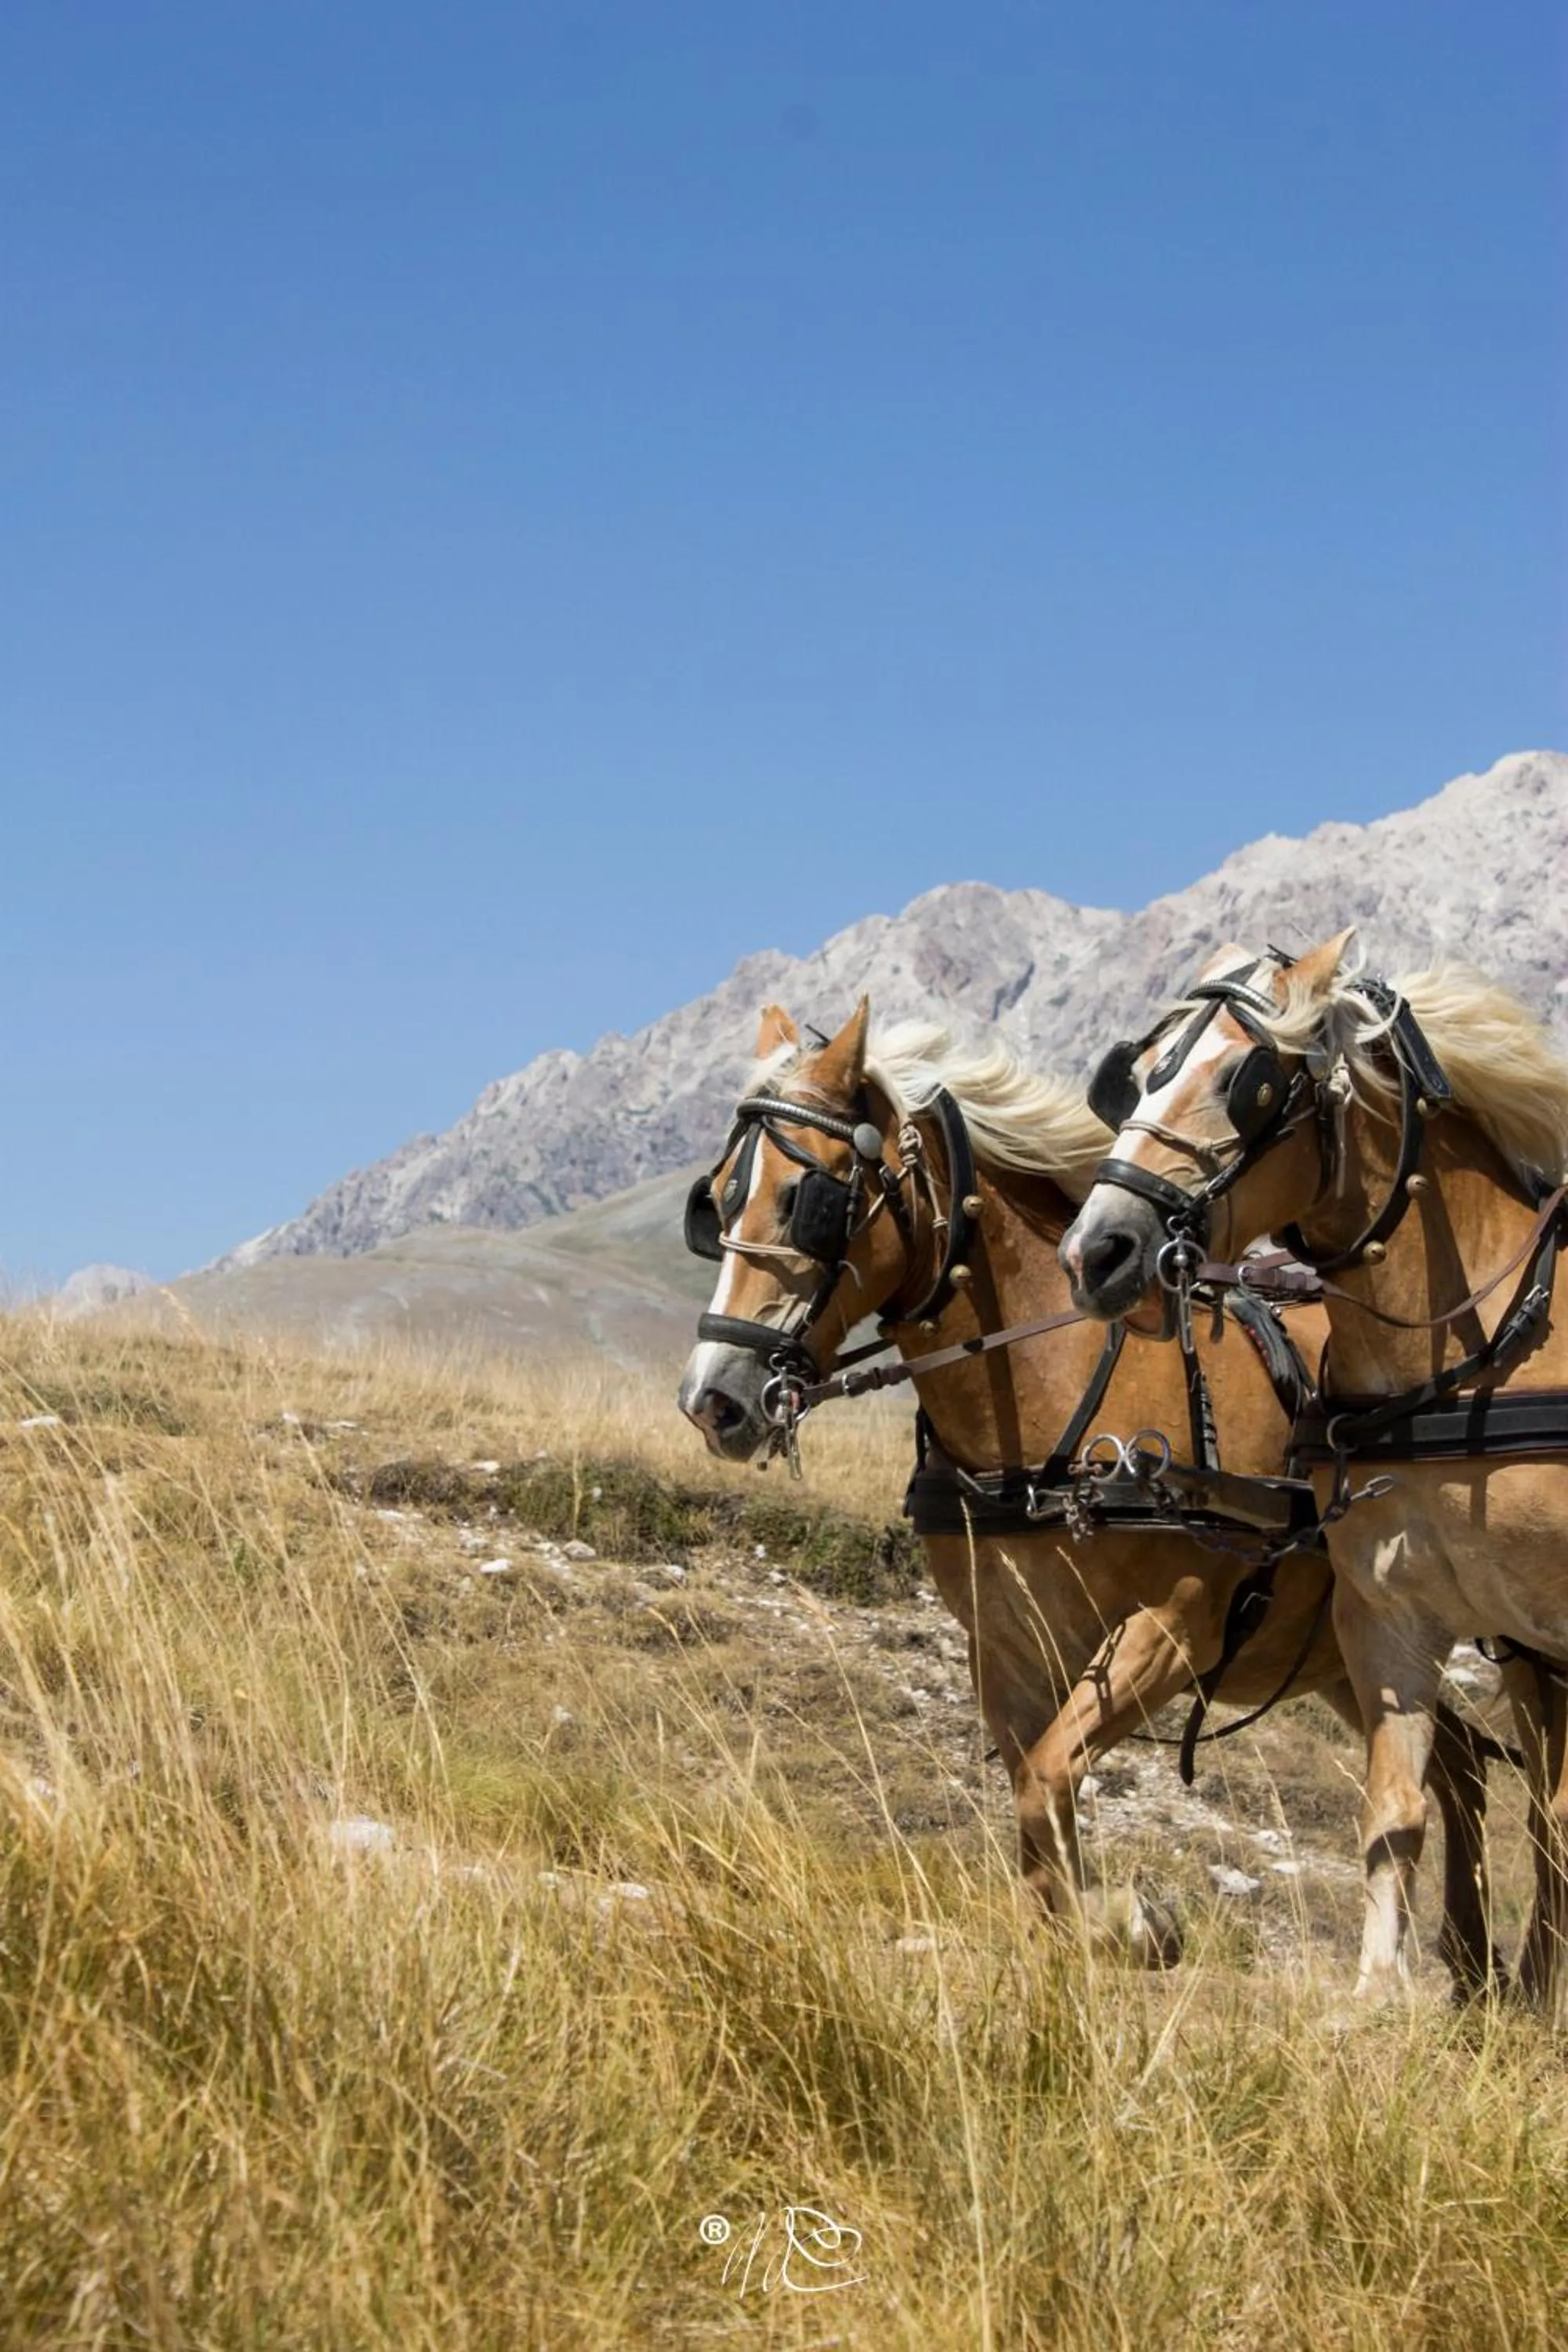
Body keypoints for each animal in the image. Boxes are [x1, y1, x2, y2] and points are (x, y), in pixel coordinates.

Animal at [677, 996, 1500, 1985]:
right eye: (716, 1200)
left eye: (810, 1200)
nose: (713, 1399)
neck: (1049, 1406)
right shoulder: (1005, 1646)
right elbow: (1038, 1806)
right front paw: (1081, 1933)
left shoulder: (1174, 1627)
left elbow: (1045, 1784)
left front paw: (1129, 1922)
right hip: (1354, 1651)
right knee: (1460, 1763)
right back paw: (1475, 1964)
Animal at [1058, 933, 1568, 2017]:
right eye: (1135, 1072)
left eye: (1245, 1081)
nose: (1095, 1252)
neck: (1483, 1347)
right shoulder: (1387, 1615)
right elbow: (1394, 1811)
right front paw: (1375, 1997)